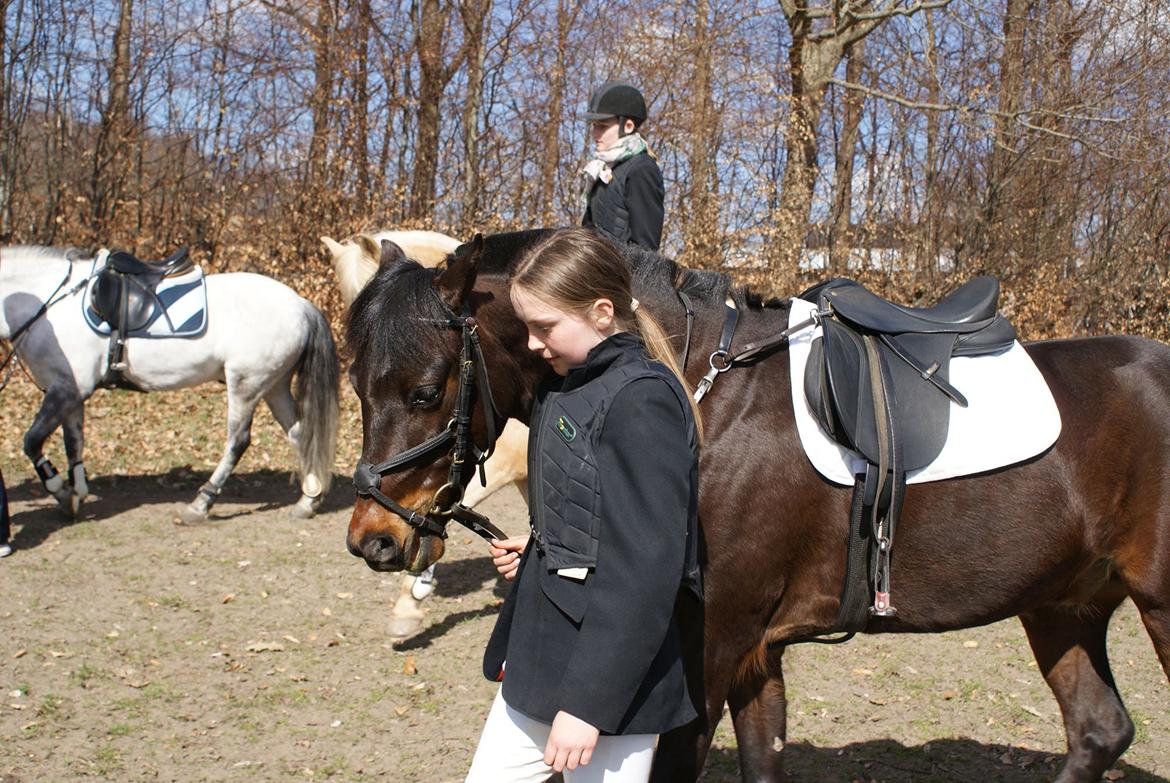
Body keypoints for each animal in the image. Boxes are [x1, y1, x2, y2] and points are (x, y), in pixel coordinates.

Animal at [0, 246, 339, 529]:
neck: (50, 305)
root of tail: (301, 305)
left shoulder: (65, 390)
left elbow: (32, 442)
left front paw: (60, 492)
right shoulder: (71, 393)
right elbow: (74, 444)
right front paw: (77, 492)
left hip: (246, 385)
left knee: (238, 441)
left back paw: (201, 504)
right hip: (274, 386)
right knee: (299, 433)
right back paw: (308, 500)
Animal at [343, 231, 1170, 781]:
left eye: (425, 391)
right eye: (357, 385)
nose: (372, 538)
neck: (703, 397)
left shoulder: (708, 650)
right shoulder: (755, 652)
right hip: (1062, 602)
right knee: (1099, 730)